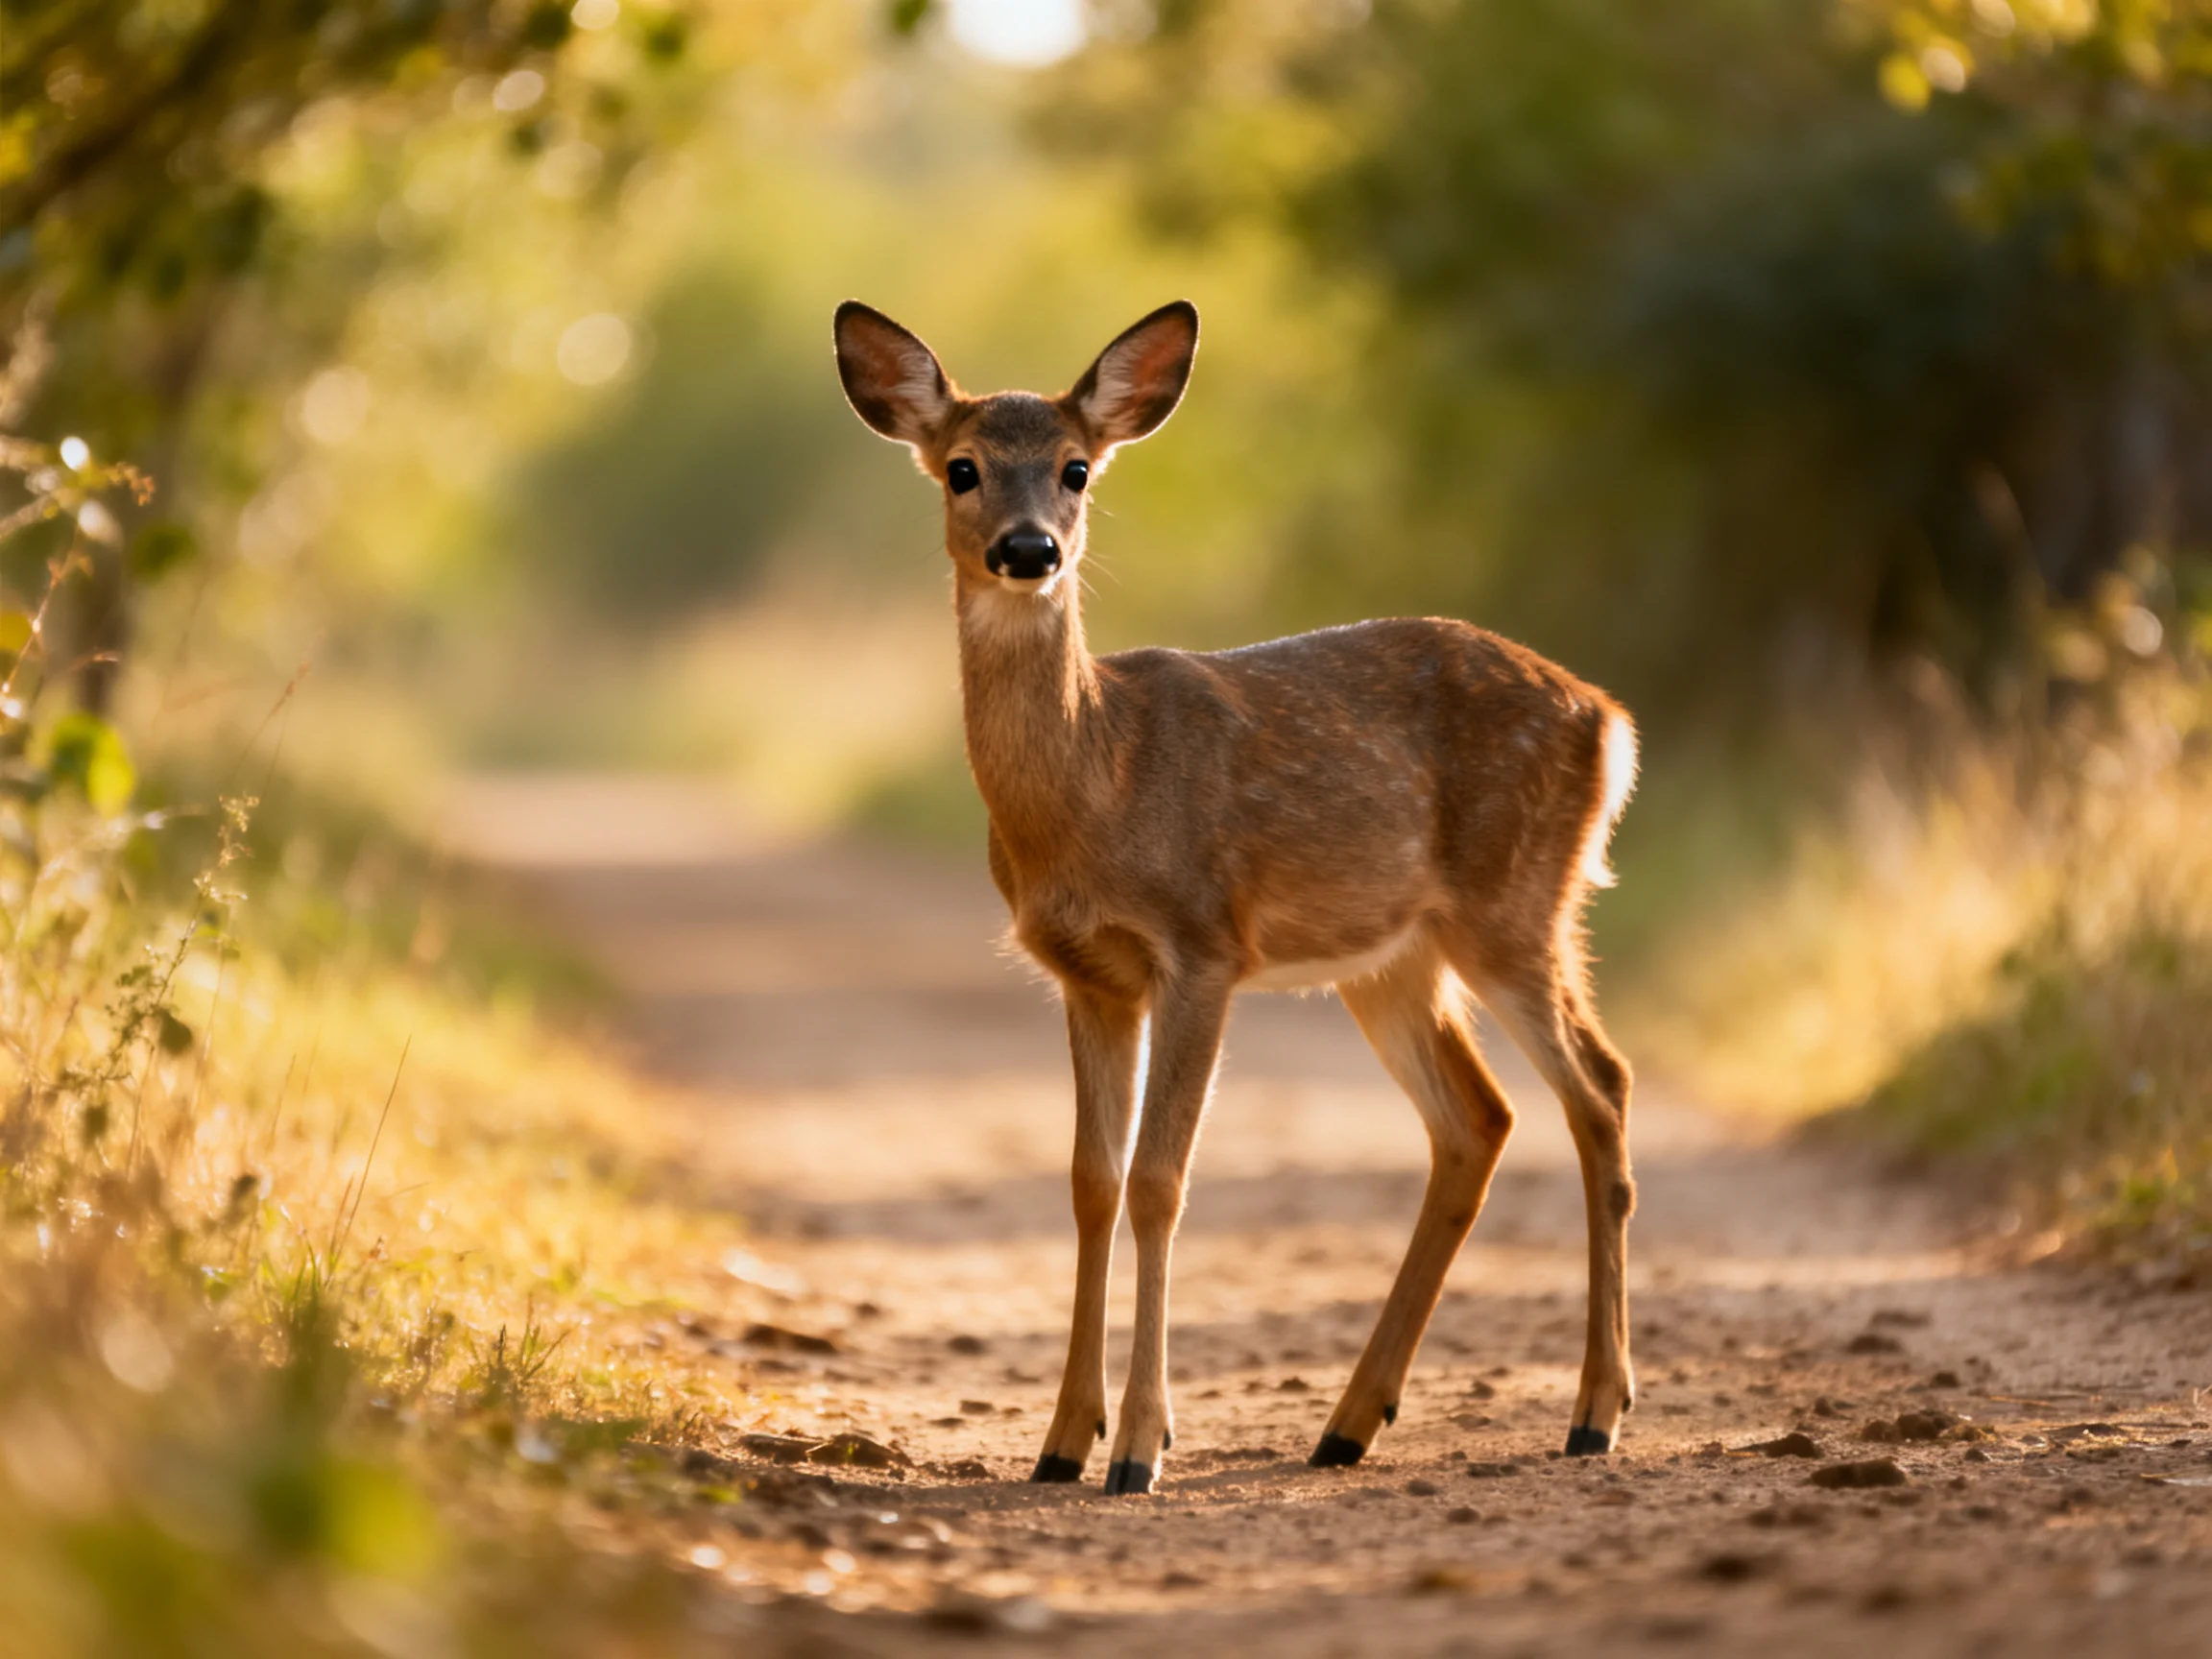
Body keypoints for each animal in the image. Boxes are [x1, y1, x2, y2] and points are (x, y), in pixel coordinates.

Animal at [832, 299, 1640, 1496]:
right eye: (962, 468)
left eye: (1076, 468)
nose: (1029, 550)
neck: (1099, 778)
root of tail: (1610, 719)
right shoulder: (1089, 976)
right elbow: (1090, 1178)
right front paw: (1061, 1442)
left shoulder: (1202, 946)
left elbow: (1161, 1180)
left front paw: (1137, 1449)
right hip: (1393, 960)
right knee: (1480, 1118)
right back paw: (1349, 1424)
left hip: (1517, 903)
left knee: (1599, 1089)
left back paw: (1595, 1413)